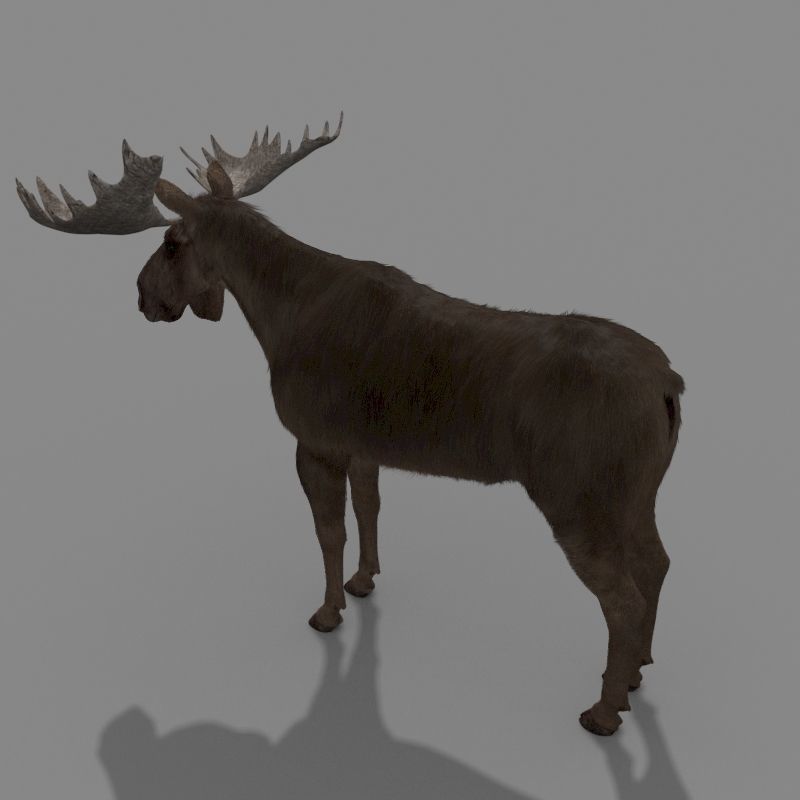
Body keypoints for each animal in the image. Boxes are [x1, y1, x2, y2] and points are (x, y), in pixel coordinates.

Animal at [16, 111, 684, 736]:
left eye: (173, 243)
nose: (142, 297)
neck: (273, 317)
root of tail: (671, 385)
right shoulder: (363, 445)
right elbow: (369, 509)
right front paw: (365, 582)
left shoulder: (313, 438)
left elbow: (327, 531)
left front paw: (327, 612)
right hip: (637, 494)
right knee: (658, 562)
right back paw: (640, 669)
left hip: (577, 495)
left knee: (622, 597)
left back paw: (604, 708)